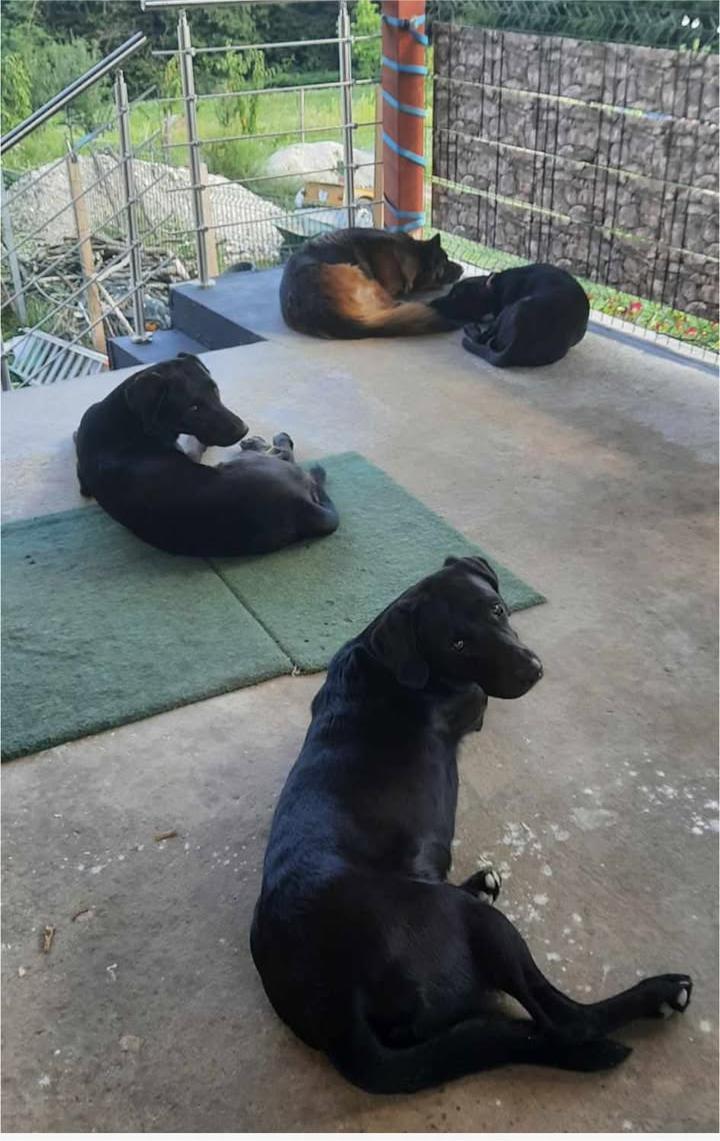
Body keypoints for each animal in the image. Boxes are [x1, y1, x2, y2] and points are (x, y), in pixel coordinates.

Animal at [74, 354, 339, 557]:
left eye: (215, 389)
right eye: (193, 408)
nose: (243, 429)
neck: (125, 418)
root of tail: (302, 507)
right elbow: (195, 444)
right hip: (248, 463)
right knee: (284, 454)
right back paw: (265, 442)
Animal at [251, 555, 692, 1093]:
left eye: (498, 609)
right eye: (457, 644)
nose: (533, 669)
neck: (385, 660)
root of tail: (336, 1010)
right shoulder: (475, 700)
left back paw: (479, 883)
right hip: (479, 926)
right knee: (566, 1019)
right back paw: (659, 994)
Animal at [431, 263, 590, 367]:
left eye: (455, 295)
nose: (432, 302)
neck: (495, 287)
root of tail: (517, 344)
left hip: (513, 307)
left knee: (482, 339)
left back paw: (471, 329)